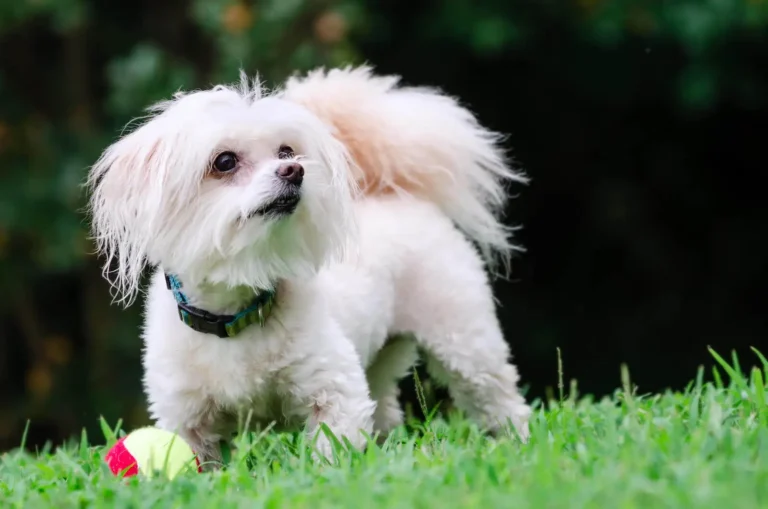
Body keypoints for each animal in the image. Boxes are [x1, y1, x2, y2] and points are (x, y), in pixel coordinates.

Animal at [87, 65, 532, 462]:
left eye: (286, 151)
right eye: (224, 161)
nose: (294, 170)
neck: (239, 313)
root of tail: (394, 192)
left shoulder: (336, 388)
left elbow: (329, 451)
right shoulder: (185, 416)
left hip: (464, 339)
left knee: (499, 398)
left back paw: (517, 443)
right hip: (381, 358)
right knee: (386, 408)